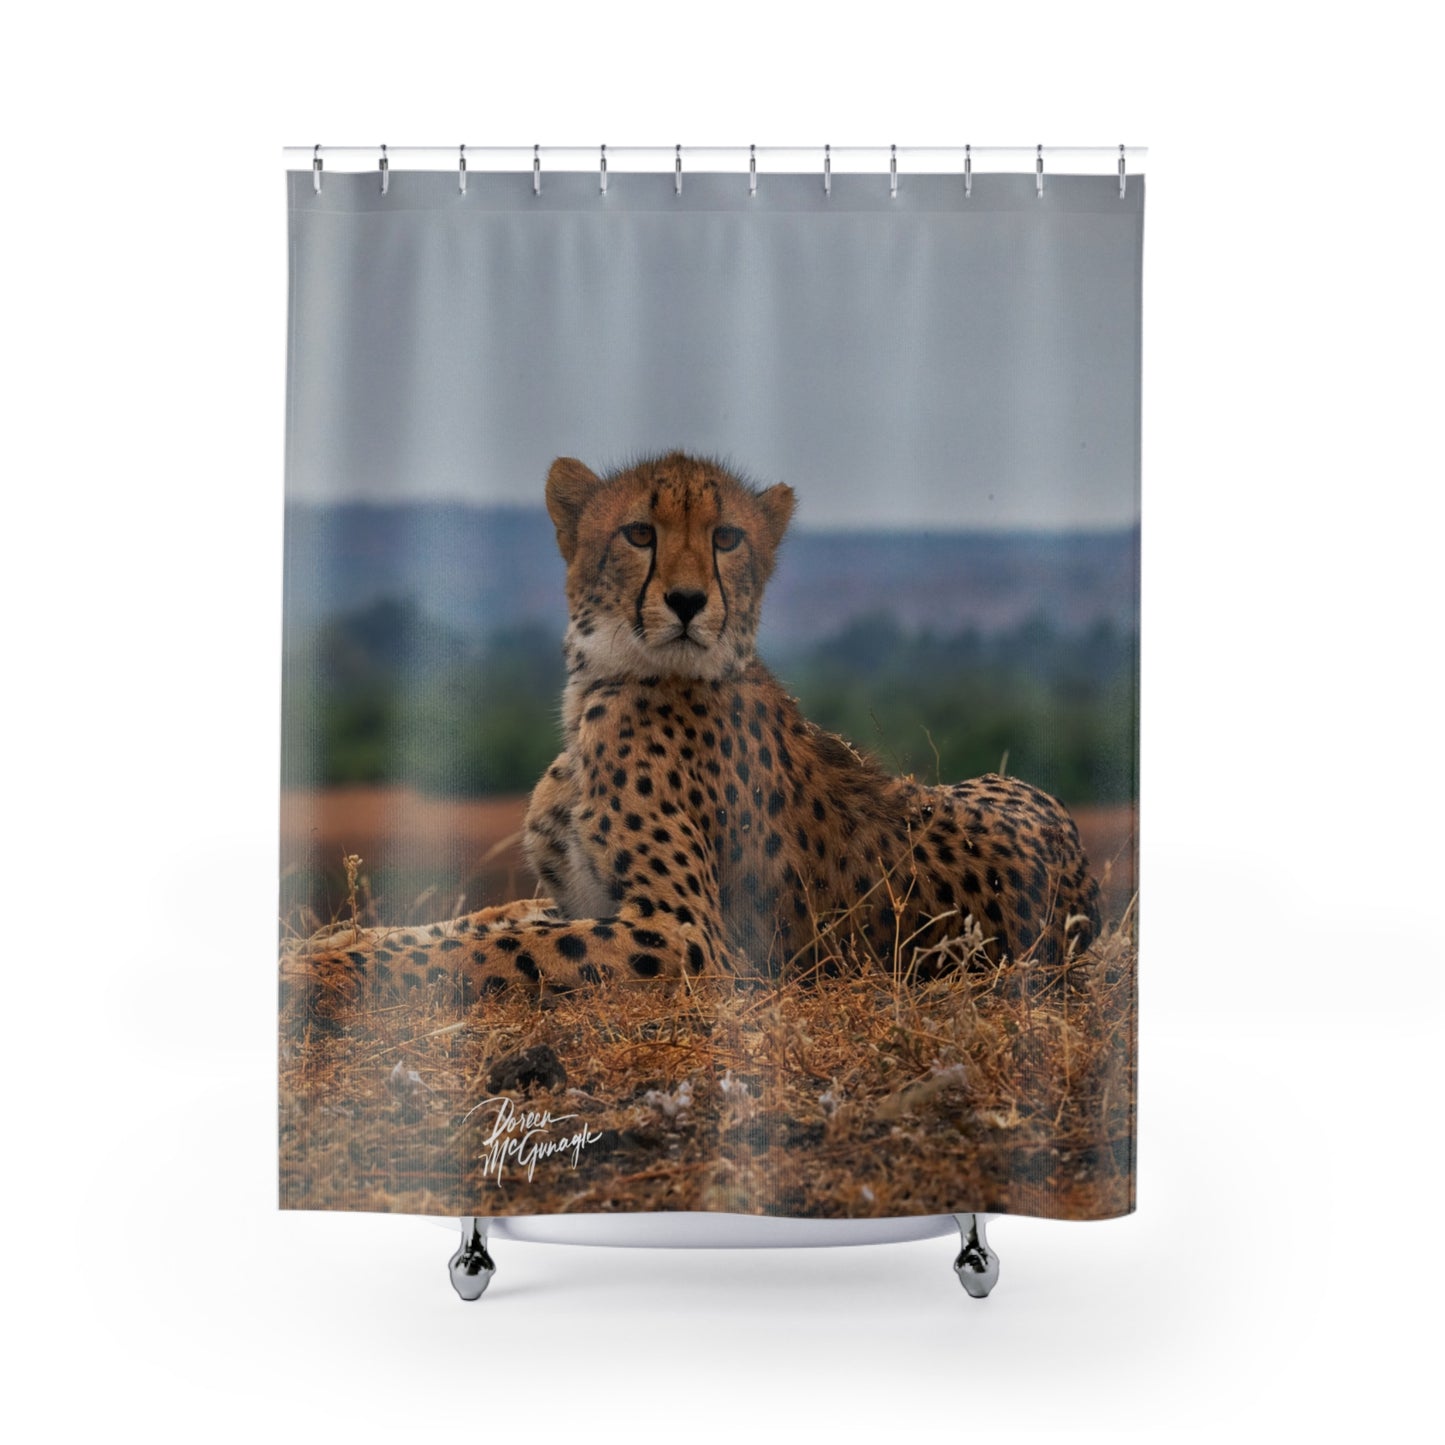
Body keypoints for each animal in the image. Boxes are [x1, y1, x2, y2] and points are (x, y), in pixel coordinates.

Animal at [284, 451, 1101, 1009]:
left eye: (728, 538)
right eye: (639, 533)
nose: (685, 600)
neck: (602, 685)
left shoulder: (686, 936)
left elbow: (504, 949)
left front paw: (326, 969)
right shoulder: (579, 898)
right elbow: (474, 926)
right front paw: (334, 942)